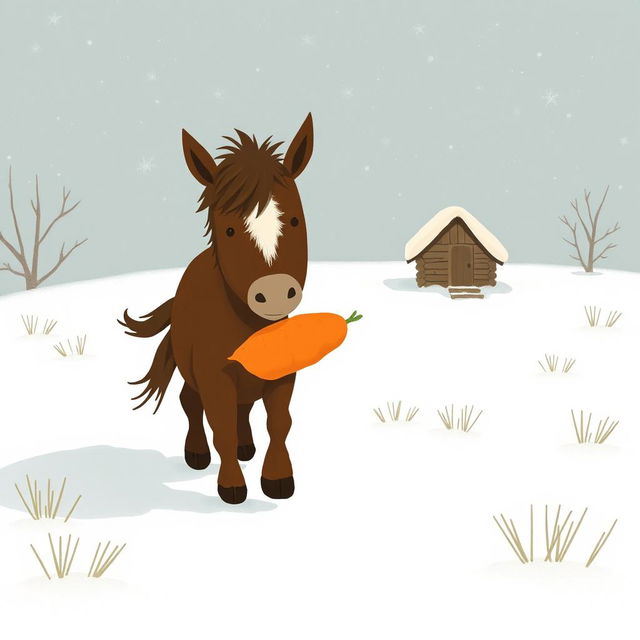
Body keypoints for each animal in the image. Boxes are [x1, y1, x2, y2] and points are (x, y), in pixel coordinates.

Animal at [119, 114, 314, 504]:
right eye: (229, 230)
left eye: (296, 220)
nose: (274, 293)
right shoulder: (214, 377)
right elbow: (220, 425)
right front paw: (232, 487)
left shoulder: (282, 375)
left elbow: (279, 424)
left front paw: (278, 480)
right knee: (190, 403)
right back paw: (197, 454)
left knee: (244, 409)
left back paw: (246, 448)